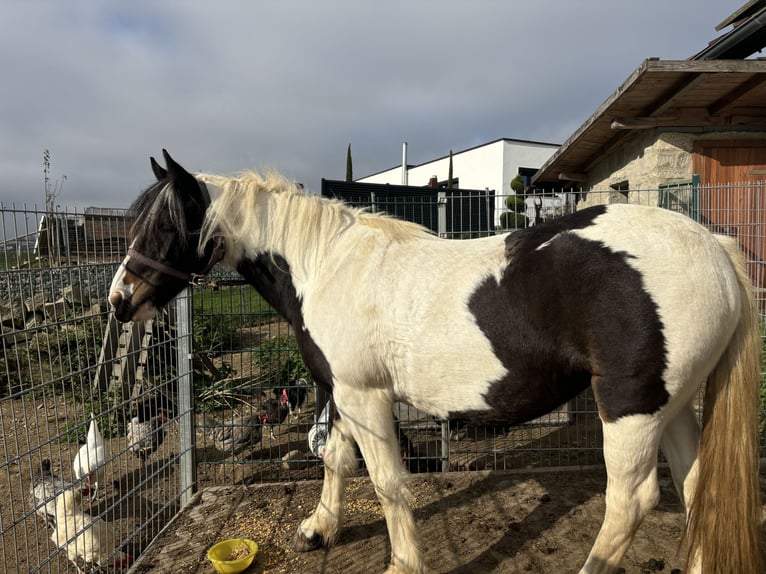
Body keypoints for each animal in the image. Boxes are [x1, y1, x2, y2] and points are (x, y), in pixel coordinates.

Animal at [108, 152, 760, 574]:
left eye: (165, 222)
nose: (118, 300)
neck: (324, 265)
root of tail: (715, 248)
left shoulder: (365, 398)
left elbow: (388, 483)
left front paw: (403, 563)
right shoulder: (342, 393)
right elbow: (336, 462)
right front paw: (318, 529)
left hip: (630, 408)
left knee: (631, 502)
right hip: (674, 404)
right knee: (697, 486)